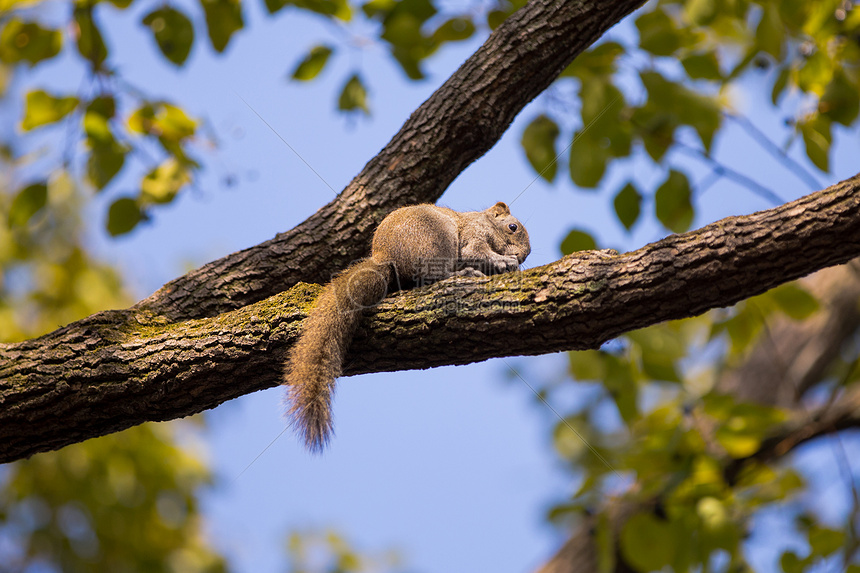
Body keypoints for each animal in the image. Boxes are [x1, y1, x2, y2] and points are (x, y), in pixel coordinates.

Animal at [284, 201, 532, 452]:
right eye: (513, 227)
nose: (523, 256)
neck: (485, 221)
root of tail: (386, 255)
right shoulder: (474, 234)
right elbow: (475, 252)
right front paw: (505, 262)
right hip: (436, 240)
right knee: (436, 275)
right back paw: (463, 273)